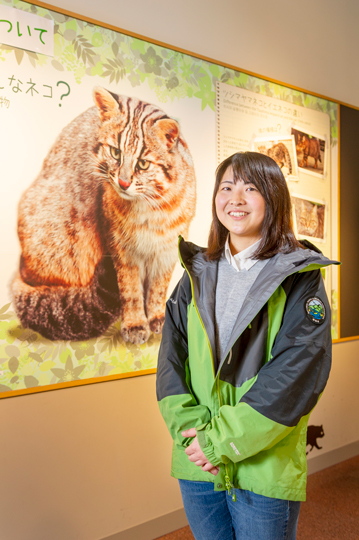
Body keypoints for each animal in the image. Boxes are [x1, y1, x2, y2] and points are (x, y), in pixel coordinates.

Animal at [12, 86, 197, 344]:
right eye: (115, 152)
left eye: (143, 164)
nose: (123, 182)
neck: (149, 210)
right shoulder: (121, 250)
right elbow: (130, 291)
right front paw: (135, 323)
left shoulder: (167, 250)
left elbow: (158, 289)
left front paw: (158, 318)